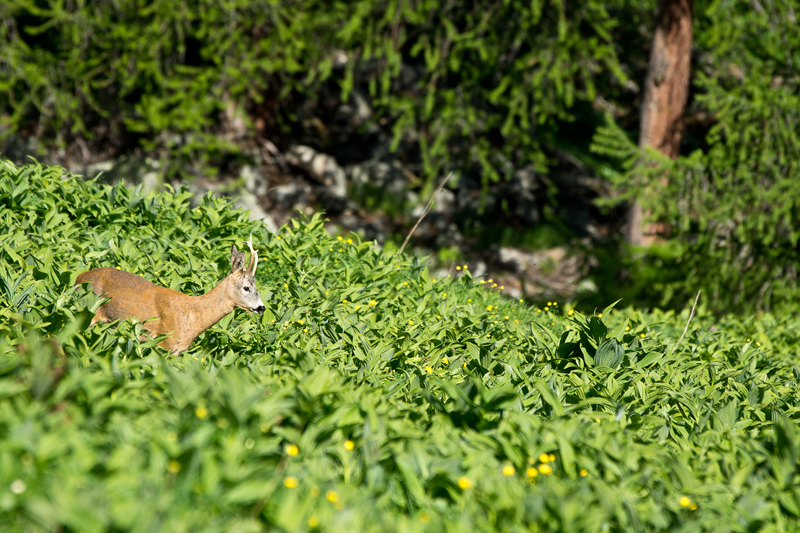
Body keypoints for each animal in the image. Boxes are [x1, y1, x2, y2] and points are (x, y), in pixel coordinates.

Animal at [74, 234, 266, 352]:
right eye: (247, 287)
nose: (261, 307)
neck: (193, 315)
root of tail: (78, 277)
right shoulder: (165, 343)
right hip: (88, 312)